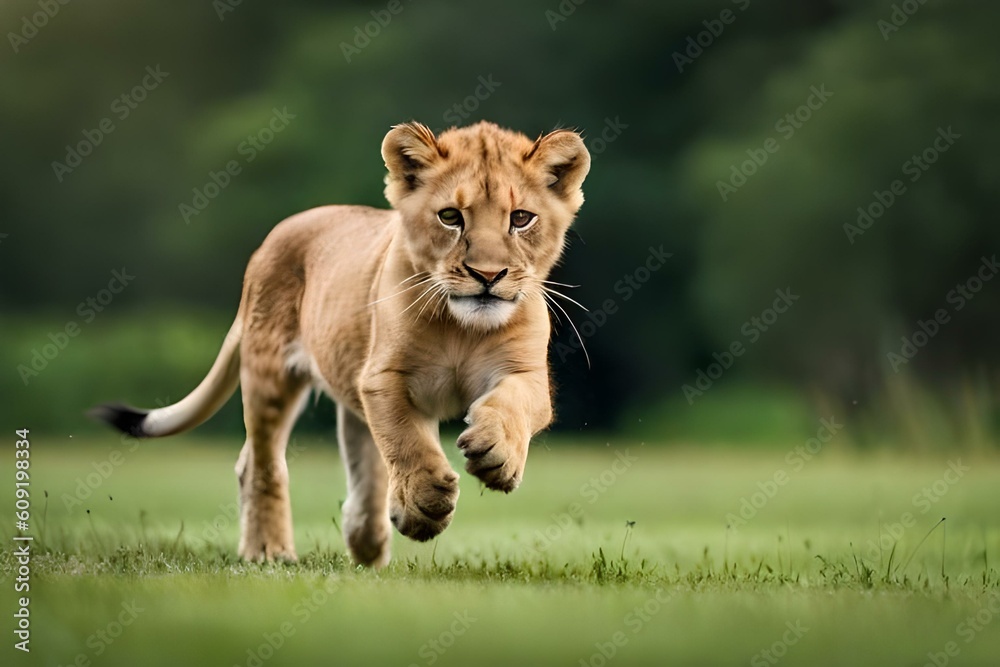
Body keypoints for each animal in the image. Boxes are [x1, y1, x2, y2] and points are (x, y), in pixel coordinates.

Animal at [91, 120, 591, 567]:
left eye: (521, 219)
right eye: (450, 217)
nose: (487, 276)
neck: (460, 327)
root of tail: (274, 237)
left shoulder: (525, 374)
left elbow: (512, 406)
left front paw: (494, 456)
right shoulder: (383, 377)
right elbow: (406, 441)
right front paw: (426, 504)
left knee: (363, 466)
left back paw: (369, 539)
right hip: (270, 373)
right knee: (260, 464)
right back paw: (269, 551)